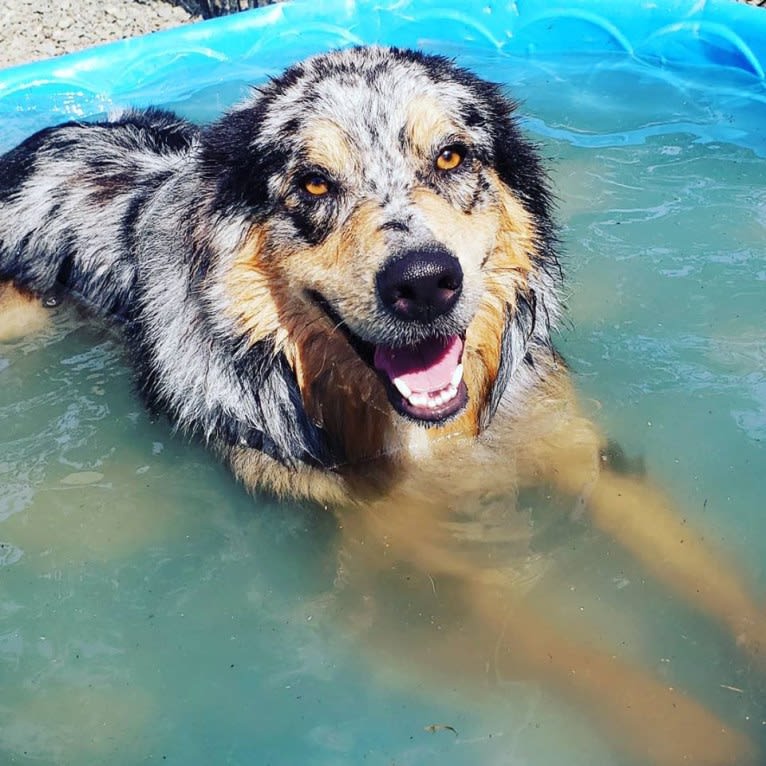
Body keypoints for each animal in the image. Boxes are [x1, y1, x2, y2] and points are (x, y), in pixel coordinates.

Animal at [0, 45, 764, 764]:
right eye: (313, 182)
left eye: (452, 155)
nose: (424, 283)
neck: (442, 435)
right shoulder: (417, 570)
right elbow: (594, 665)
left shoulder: (582, 456)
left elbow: (711, 572)